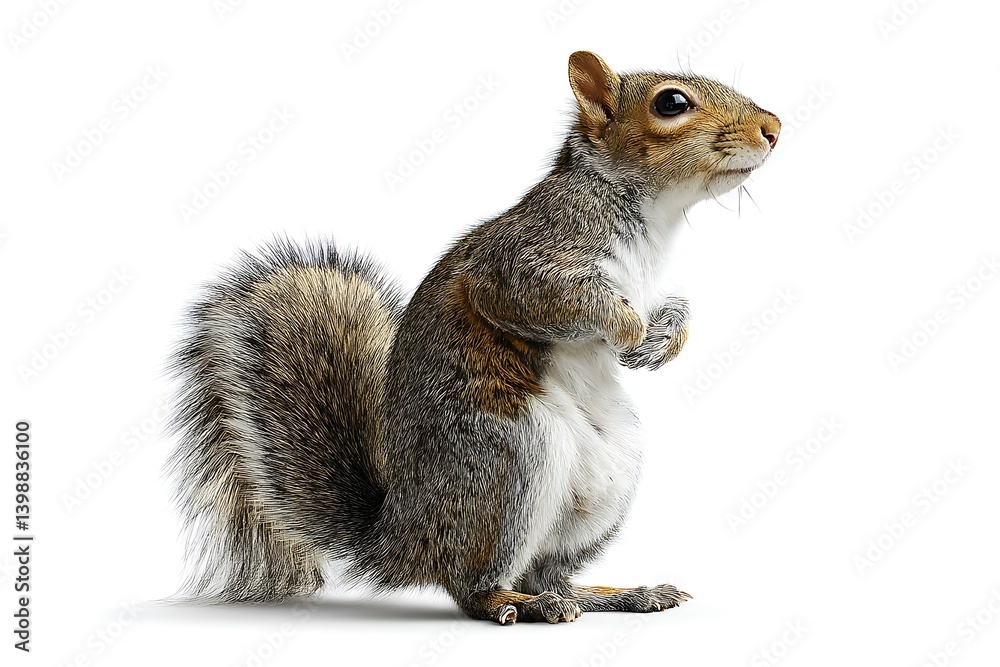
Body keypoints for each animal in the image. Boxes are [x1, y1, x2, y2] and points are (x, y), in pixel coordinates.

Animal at [167, 51, 780, 625]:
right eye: (671, 103)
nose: (773, 128)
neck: (652, 219)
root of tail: (401, 537)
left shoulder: (652, 285)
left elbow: (676, 309)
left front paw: (664, 342)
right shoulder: (525, 261)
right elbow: (548, 298)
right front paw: (629, 333)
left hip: (611, 471)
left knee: (545, 572)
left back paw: (618, 594)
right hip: (508, 455)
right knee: (472, 584)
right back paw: (515, 604)